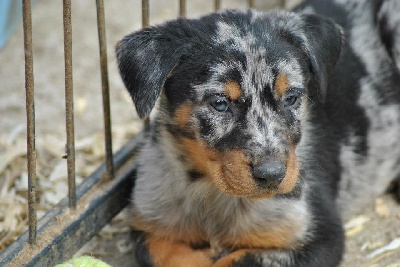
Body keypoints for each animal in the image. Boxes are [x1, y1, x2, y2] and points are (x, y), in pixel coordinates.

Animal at [115, 0, 400, 266]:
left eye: (292, 98)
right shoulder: (148, 223)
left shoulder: (320, 235)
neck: (212, 193)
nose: (272, 175)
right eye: (220, 103)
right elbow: (164, 255)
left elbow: (241, 260)